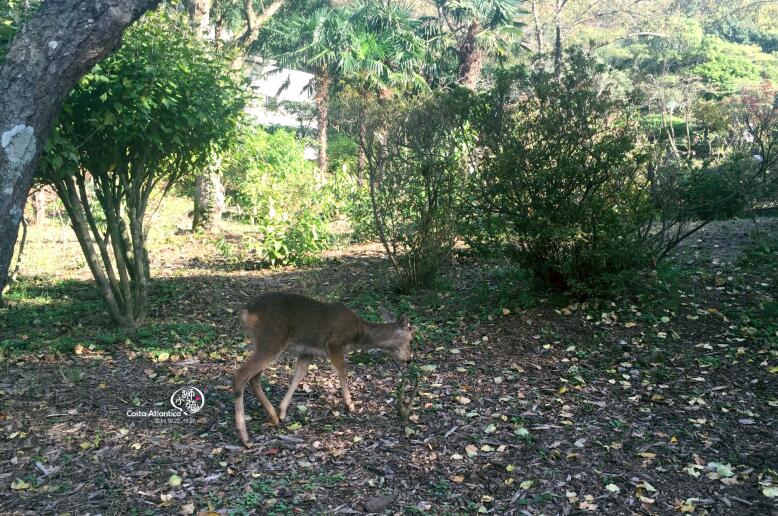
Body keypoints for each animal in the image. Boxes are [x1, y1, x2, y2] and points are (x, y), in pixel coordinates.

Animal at [232, 292, 416, 446]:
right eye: (411, 340)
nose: (409, 360)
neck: (358, 335)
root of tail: (243, 312)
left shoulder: (307, 351)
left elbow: (299, 375)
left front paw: (282, 411)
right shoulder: (333, 344)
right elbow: (342, 372)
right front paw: (350, 405)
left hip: (261, 343)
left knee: (254, 377)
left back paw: (273, 417)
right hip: (272, 339)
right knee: (241, 374)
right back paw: (245, 438)